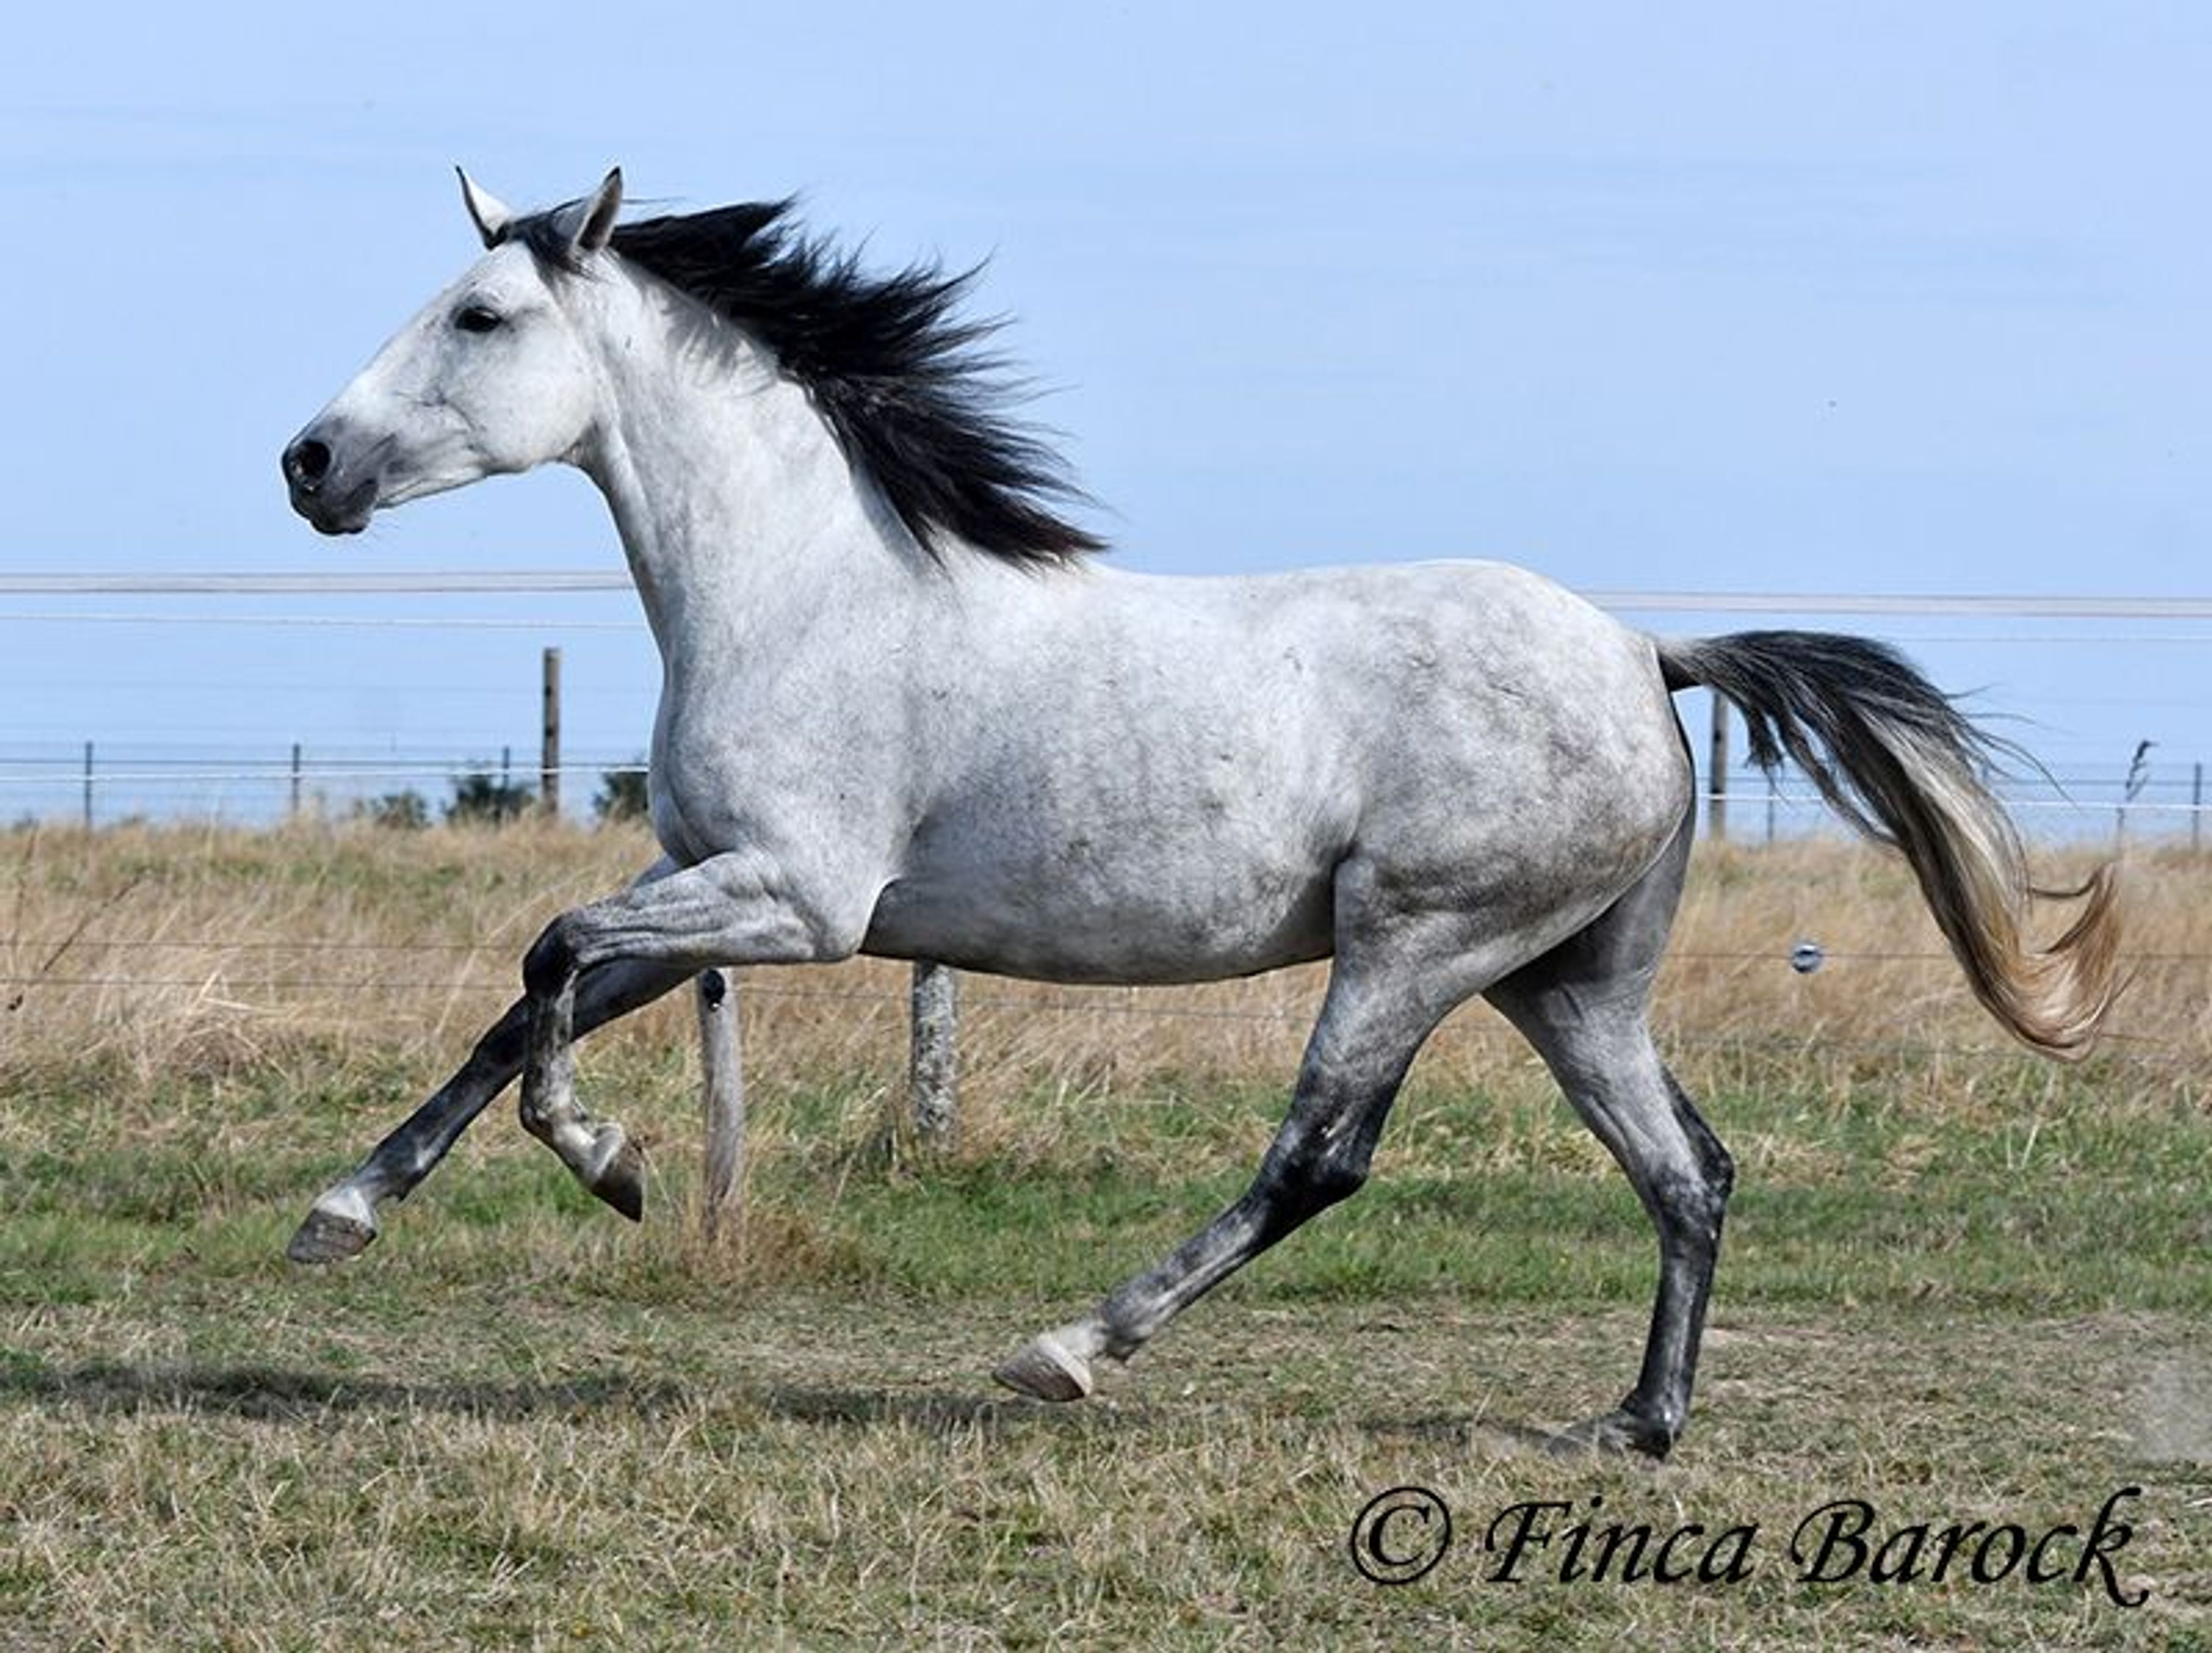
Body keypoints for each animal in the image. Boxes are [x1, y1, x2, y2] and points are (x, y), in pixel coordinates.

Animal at [280, 169, 2122, 1457]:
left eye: (480, 316)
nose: (308, 464)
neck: (806, 589)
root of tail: (1641, 651)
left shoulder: (795, 900)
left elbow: (547, 954)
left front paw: (611, 1167)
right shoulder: (707, 881)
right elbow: (522, 1001)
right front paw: (342, 1215)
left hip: (1414, 949)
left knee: (1319, 1157)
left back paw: (1067, 1349)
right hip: (1567, 981)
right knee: (1691, 1171)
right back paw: (1633, 1425)